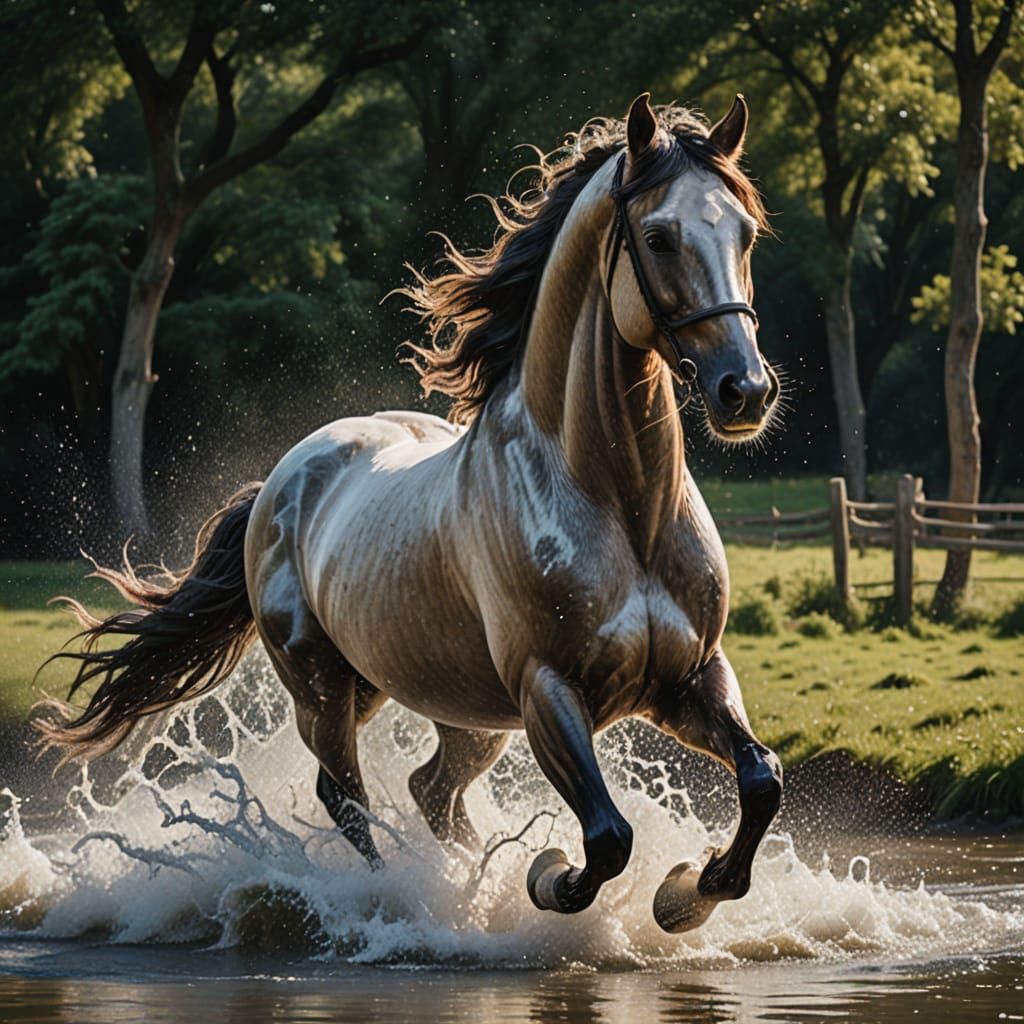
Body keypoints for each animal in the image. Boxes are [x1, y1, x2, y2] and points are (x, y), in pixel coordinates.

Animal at [39, 94, 784, 934]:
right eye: (658, 237)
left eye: (745, 232)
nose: (746, 391)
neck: (618, 504)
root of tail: (279, 483)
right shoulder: (548, 691)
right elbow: (606, 837)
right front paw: (548, 877)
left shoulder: (688, 677)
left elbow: (761, 778)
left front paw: (688, 891)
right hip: (325, 692)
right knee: (349, 800)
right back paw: (404, 899)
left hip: (452, 708)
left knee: (433, 792)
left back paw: (462, 887)